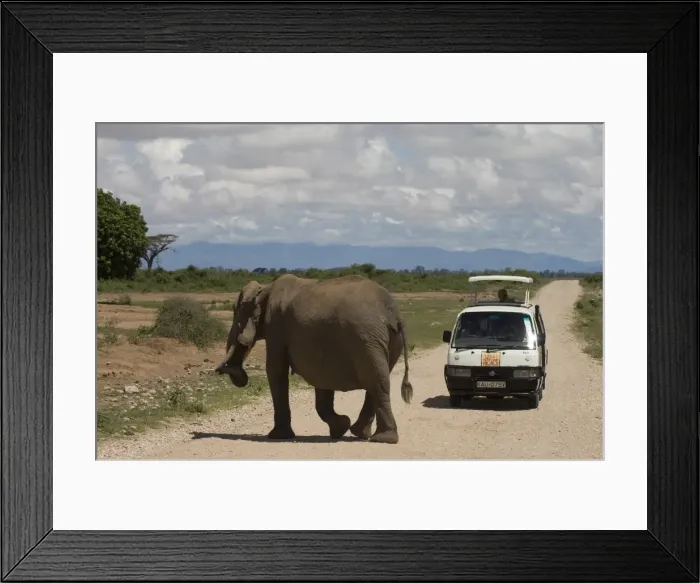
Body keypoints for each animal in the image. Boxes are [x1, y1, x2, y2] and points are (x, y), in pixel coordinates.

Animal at [214, 273, 414, 444]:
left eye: (236, 313)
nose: (238, 375)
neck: (265, 288)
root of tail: (393, 312)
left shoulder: (276, 327)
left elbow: (275, 370)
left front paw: (277, 437)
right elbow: (322, 377)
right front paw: (340, 428)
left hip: (367, 337)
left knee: (376, 381)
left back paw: (383, 439)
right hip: (387, 340)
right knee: (379, 378)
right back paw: (361, 433)